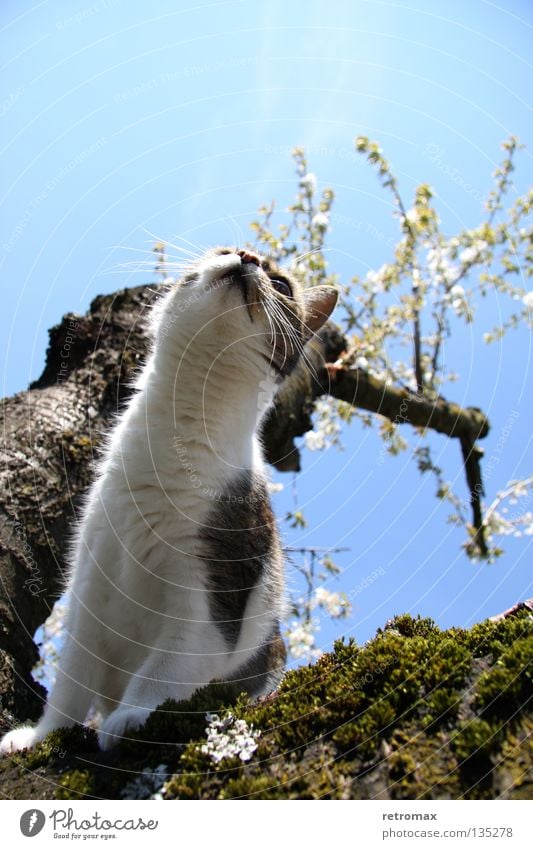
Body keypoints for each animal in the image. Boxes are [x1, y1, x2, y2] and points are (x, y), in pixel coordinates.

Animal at [1, 243, 336, 748]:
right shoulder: (90, 579)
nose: (247, 254)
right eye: (225, 248)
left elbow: (166, 667)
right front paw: (42, 737)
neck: (181, 427)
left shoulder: (212, 591)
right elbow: (71, 682)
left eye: (281, 284)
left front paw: (131, 717)